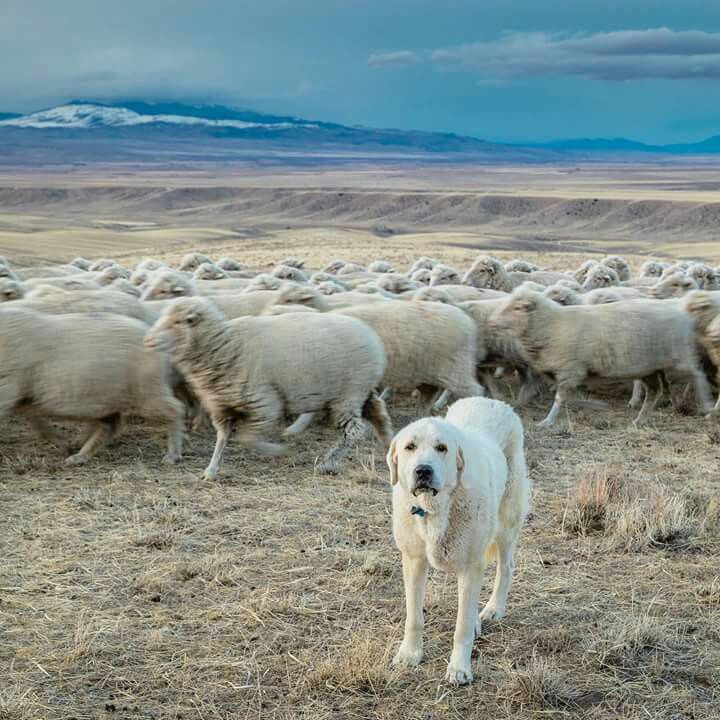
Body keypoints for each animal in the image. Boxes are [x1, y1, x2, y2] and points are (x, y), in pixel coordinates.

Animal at [146, 298, 390, 478]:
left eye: (177, 322)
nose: (148, 341)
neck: (226, 345)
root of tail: (373, 339)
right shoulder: (222, 407)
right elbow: (222, 439)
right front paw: (211, 470)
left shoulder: (265, 403)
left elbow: (247, 439)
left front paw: (279, 451)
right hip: (361, 392)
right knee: (379, 416)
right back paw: (388, 445)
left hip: (348, 394)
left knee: (355, 430)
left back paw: (329, 462)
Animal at [388, 396, 528, 684]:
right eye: (410, 447)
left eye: (442, 448)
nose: (423, 471)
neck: (434, 507)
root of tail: (491, 400)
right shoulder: (414, 561)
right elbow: (414, 617)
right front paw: (410, 654)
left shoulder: (471, 566)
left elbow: (461, 627)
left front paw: (459, 668)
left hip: (505, 525)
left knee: (505, 568)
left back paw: (494, 608)